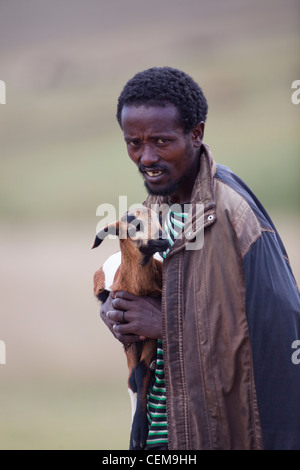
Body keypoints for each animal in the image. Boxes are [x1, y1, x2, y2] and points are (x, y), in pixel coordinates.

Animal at [91, 207, 169, 450]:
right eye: (135, 224)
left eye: (159, 219)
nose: (162, 238)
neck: (138, 286)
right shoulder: (129, 337)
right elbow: (134, 379)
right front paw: (136, 436)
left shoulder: (148, 332)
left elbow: (141, 372)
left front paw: (139, 432)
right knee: (130, 381)